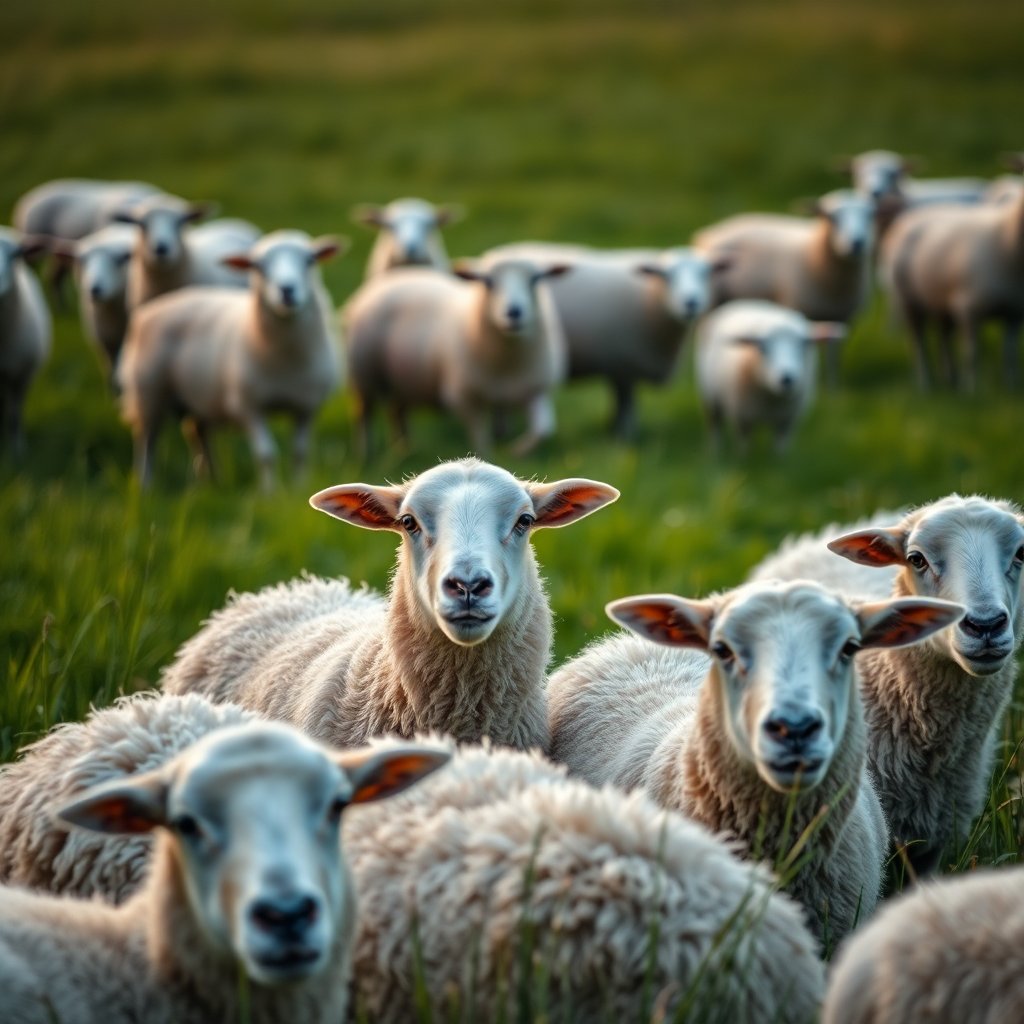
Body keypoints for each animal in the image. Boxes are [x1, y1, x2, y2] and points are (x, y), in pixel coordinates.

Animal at [117, 229, 344, 489]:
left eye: (310, 260)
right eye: (258, 266)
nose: (287, 290)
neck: (286, 358)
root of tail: (151, 309)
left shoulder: (307, 407)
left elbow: (300, 452)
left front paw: (300, 487)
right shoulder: (248, 406)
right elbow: (266, 454)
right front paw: (269, 492)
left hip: (196, 395)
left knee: (197, 433)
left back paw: (211, 481)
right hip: (148, 394)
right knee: (147, 441)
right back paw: (145, 485)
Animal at [342, 258, 570, 457]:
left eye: (536, 279)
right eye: (488, 282)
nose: (514, 313)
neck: (507, 364)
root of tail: (393, 277)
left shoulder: (535, 390)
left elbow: (544, 430)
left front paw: (517, 451)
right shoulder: (463, 396)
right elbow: (480, 438)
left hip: (401, 380)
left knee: (396, 411)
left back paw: (403, 448)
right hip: (364, 374)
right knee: (364, 414)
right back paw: (366, 454)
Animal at [479, 241, 728, 437]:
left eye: (706, 273)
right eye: (667, 276)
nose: (691, 303)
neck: (650, 298)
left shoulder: (619, 366)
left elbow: (620, 402)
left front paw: (614, 428)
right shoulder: (624, 364)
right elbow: (626, 403)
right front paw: (625, 437)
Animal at [694, 299, 846, 452]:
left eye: (804, 344)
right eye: (762, 346)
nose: (786, 379)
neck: (772, 401)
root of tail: (745, 301)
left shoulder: (787, 423)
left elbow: (780, 450)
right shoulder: (742, 420)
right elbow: (743, 448)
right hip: (710, 397)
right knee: (714, 426)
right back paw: (715, 451)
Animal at [879, 158, 1024, 390]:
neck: (1006, 236)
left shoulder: (1014, 313)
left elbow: (1010, 355)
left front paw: (1011, 387)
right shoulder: (968, 309)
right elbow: (972, 353)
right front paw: (972, 390)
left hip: (941, 301)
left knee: (943, 337)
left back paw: (950, 378)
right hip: (908, 300)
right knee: (917, 341)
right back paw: (925, 383)